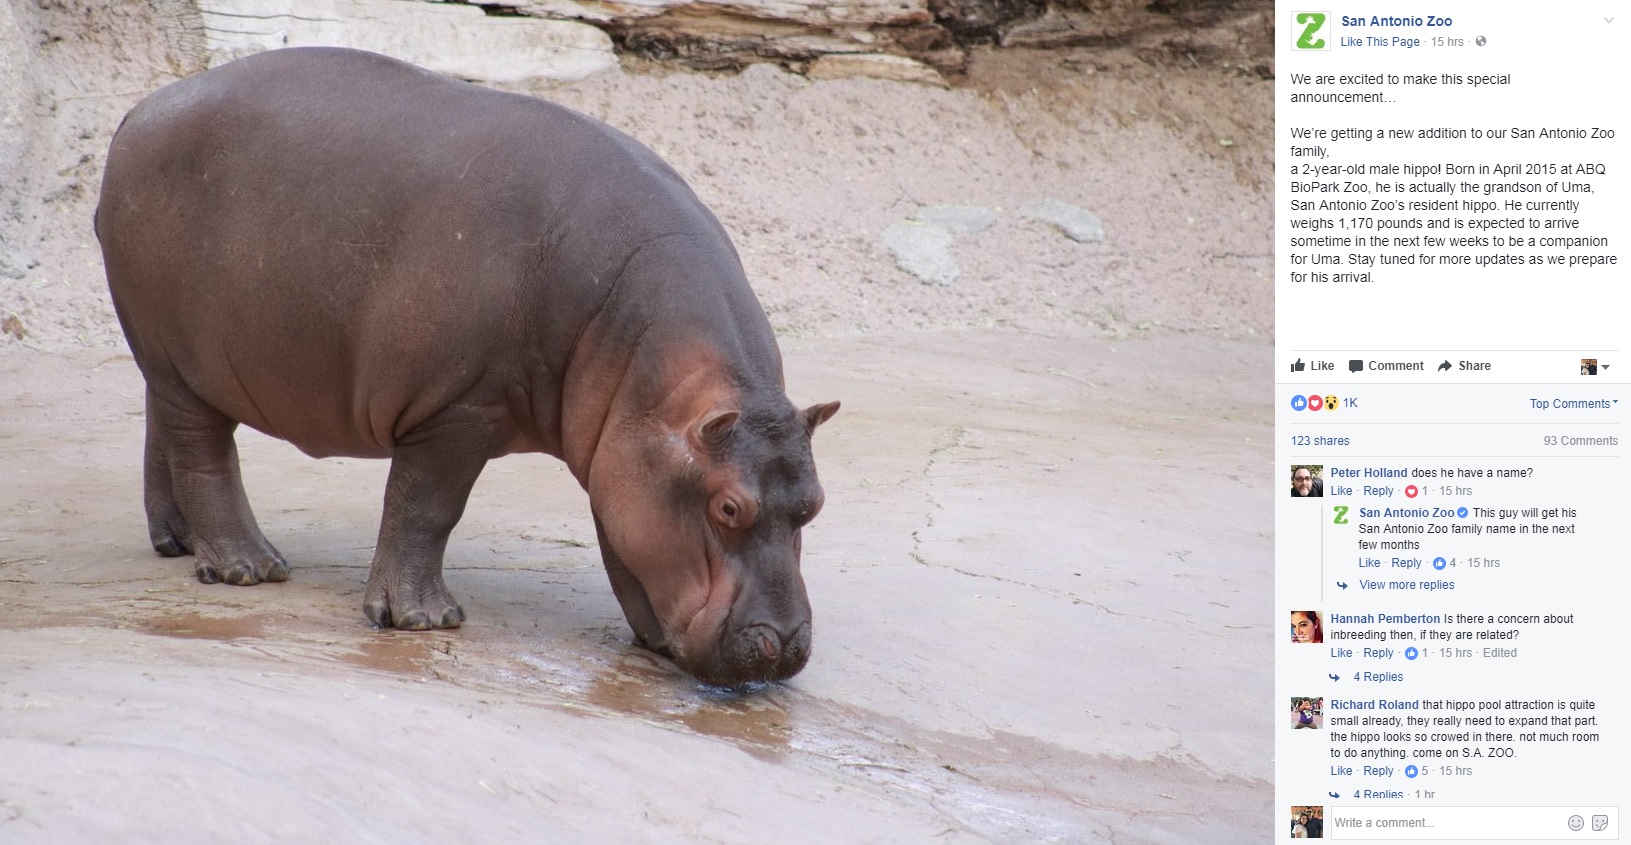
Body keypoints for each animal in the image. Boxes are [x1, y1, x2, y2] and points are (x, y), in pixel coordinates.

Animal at [98, 46, 841, 688]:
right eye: (728, 506)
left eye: (815, 504)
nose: (786, 644)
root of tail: (138, 111)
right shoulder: (456, 410)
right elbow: (426, 506)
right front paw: (424, 621)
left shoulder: (620, 444)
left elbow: (622, 540)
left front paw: (653, 639)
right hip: (183, 358)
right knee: (204, 453)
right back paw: (249, 567)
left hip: (169, 363)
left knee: (161, 431)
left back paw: (179, 544)